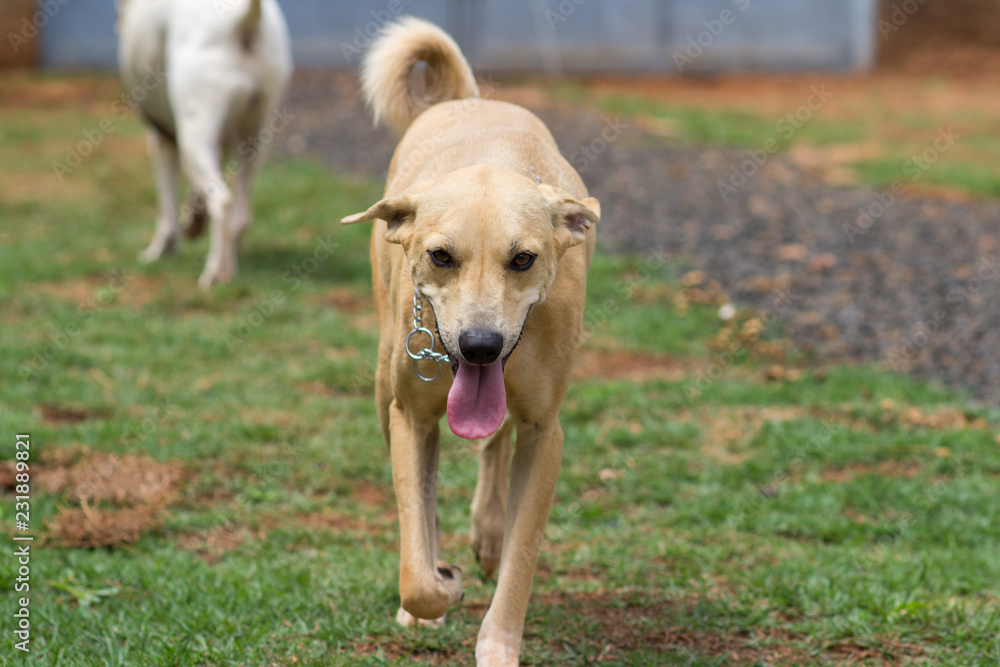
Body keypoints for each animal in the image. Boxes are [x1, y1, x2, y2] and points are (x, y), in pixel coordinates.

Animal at [116, 0, 292, 288]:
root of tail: (245, 18)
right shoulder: (225, 142)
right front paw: (194, 220)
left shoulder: (161, 139)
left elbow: (166, 205)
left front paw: (161, 249)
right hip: (255, 140)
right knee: (240, 214)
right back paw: (229, 262)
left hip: (193, 136)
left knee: (223, 203)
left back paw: (215, 273)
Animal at [344, 18, 596, 664]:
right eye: (440, 255)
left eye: (523, 258)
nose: (481, 344)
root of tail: (467, 101)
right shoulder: (411, 416)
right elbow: (416, 550)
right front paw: (436, 589)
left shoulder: (545, 432)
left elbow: (521, 559)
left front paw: (498, 643)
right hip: (383, 382)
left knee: (496, 445)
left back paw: (487, 532)